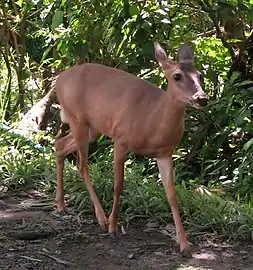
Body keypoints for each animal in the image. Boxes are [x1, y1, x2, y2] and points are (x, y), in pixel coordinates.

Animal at [52, 42, 208, 258]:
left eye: (200, 75)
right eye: (177, 76)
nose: (202, 98)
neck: (151, 120)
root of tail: (59, 79)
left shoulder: (165, 152)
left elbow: (172, 195)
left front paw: (184, 245)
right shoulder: (120, 140)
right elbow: (118, 185)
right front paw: (113, 227)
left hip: (92, 128)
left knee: (60, 145)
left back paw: (60, 205)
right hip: (77, 119)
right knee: (82, 164)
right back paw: (100, 218)